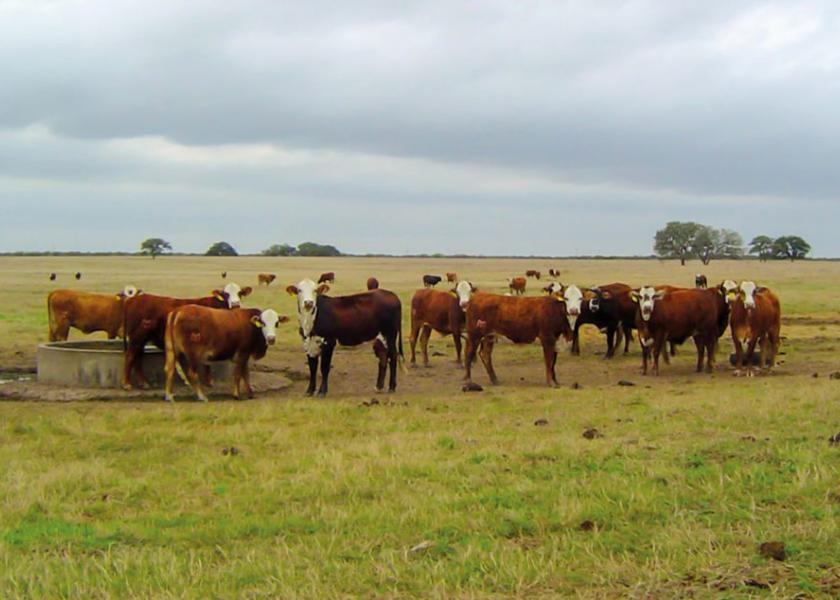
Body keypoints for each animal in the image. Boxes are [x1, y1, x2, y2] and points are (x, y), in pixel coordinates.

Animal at [121, 282, 251, 390]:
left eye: (240, 293)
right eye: (226, 294)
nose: (235, 305)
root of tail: (134, 299)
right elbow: (207, 362)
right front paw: (209, 381)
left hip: (141, 339)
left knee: (138, 357)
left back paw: (143, 382)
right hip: (137, 337)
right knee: (130, 356)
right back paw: (127, 384)